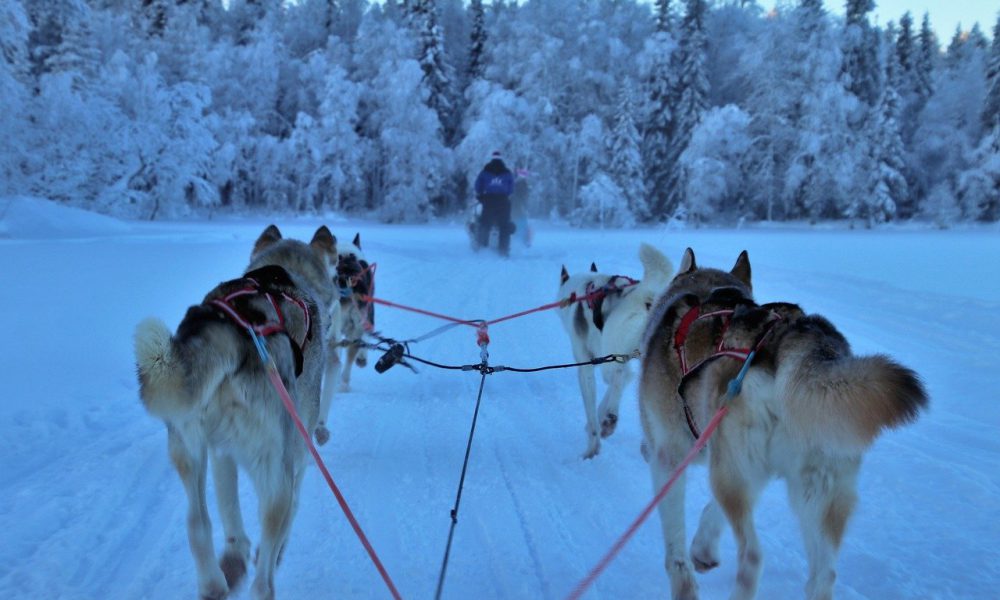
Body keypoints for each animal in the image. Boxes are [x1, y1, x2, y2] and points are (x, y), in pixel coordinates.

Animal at [133, 224, 338, 600]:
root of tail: (235, 330)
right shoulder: (297, 455)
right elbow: (291, 511)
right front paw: (270, 552)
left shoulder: (220, 453)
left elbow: (228, 508)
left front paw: (235, 553)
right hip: (275, 470)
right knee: (265, 572)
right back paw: (260, 578)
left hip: (187, 447)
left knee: (197, 524)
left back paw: (214, 582)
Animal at [560, 244, 676, 460]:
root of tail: (646, 294)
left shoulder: (587, 366)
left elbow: (594, 405)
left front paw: (592, 446)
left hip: (611, 352)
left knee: (617, 377)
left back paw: (610, 419)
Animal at [636, 247, 924, 600]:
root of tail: (790, 339)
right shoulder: (743, 467)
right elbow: (712, 512)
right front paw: (704, 548)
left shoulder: (671, 458)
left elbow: (675, 544)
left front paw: (685, 580)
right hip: (813, 490)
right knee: (824, 575)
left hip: (733, 473)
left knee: (752, 557)